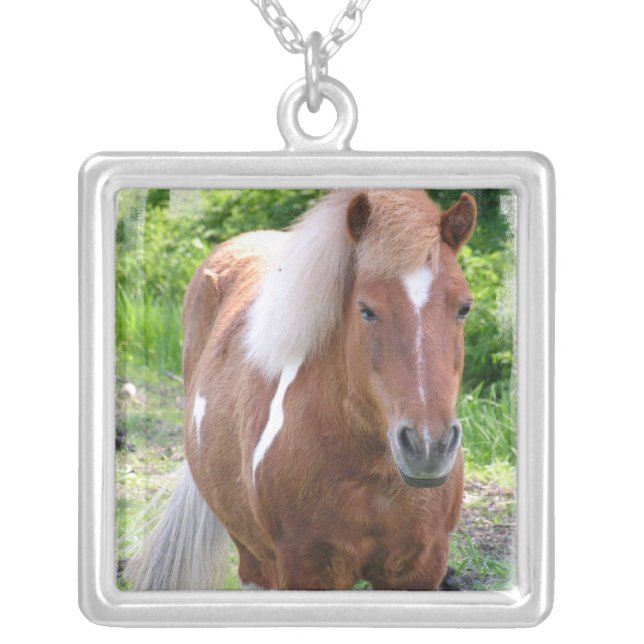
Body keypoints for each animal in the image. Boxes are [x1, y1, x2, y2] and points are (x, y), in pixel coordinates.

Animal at [126, 189, 477, 591]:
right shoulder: (307, 568)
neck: (371, 475)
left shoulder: (418, 570)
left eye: (464, 308)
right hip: (252, 550)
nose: (428, 447)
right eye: (366, 310)